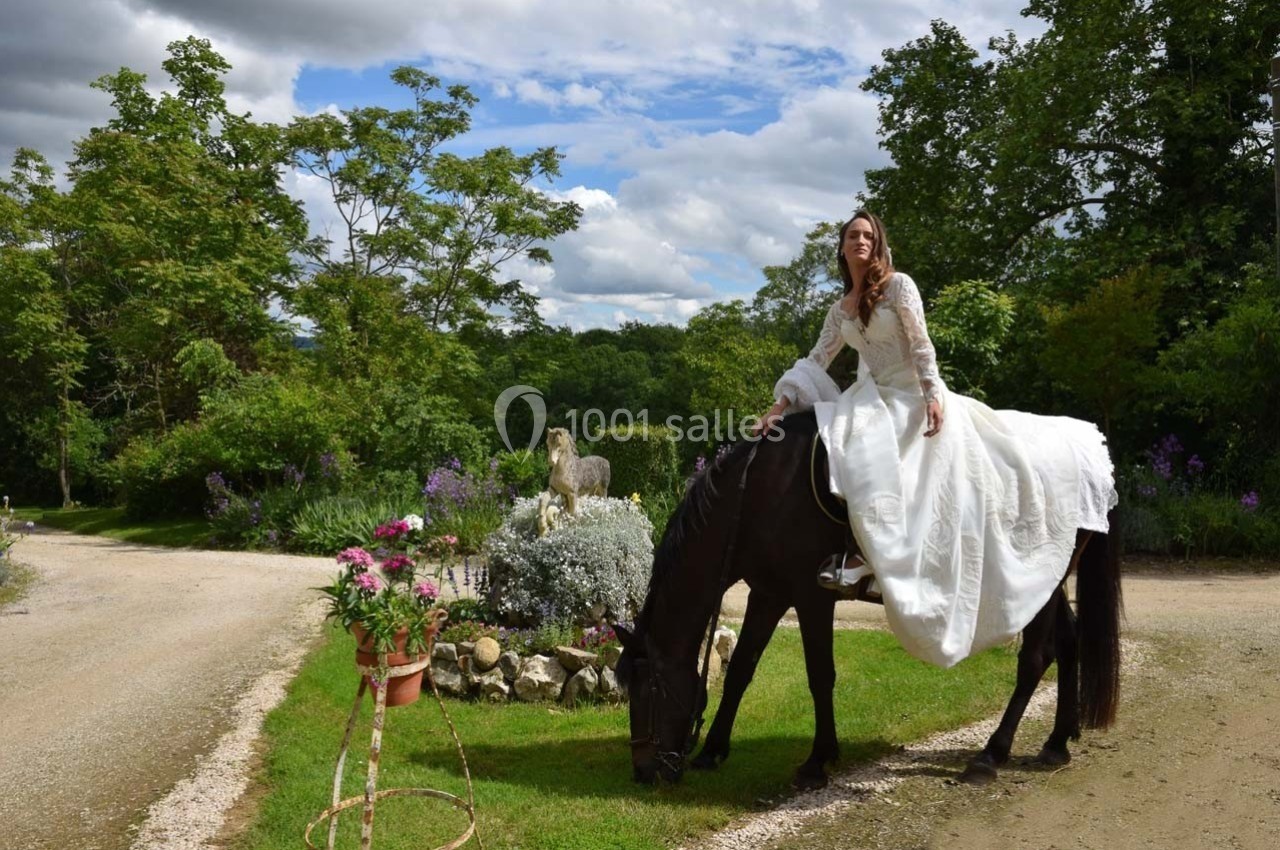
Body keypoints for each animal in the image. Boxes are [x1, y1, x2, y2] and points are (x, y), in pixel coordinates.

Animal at [615, 411, 1121, 789]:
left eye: (648, 690)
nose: (643, 771)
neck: (756, 493)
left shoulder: (810, 595)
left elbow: (819, 674)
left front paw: (818, 760)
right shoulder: (768, 592)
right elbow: (741, 669)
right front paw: (714, 750)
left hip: (1041, 582)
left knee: (1035, 659)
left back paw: (991, 755)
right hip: (1044, 584)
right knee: (1070, 643)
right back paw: (1057, 743)